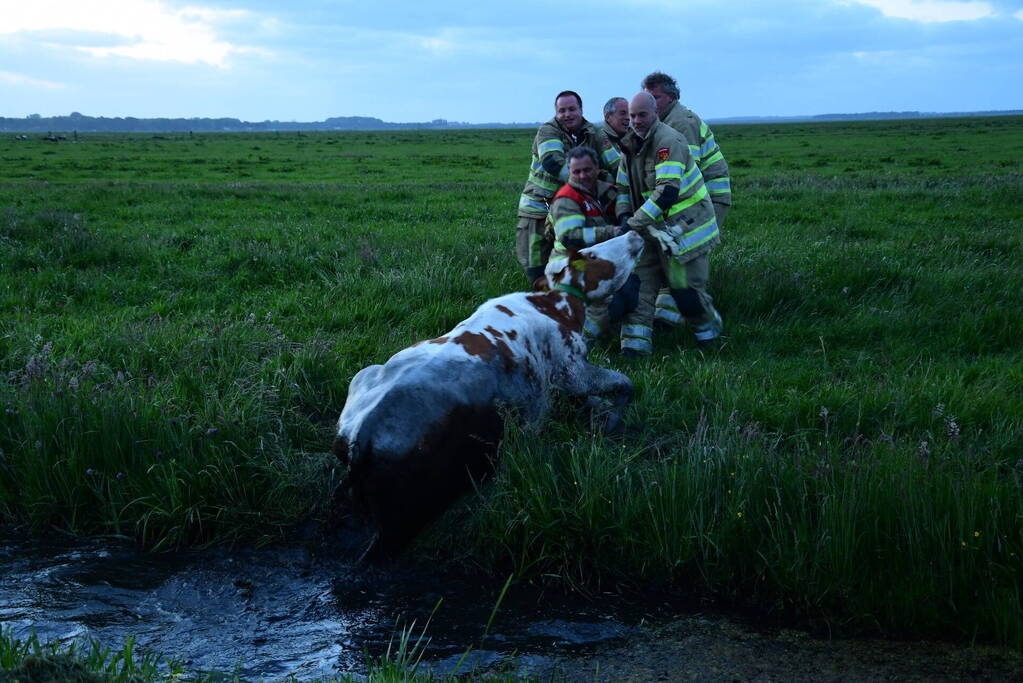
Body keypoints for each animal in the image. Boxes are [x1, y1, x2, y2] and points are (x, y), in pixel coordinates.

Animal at [332, 230, 645, 562]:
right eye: (591, 254)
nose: (633, 233)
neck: (554, 305)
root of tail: (361, 433)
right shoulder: (571, 370)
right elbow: (624, 384)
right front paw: (612, 422)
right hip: (406, 514)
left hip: (363, 375)